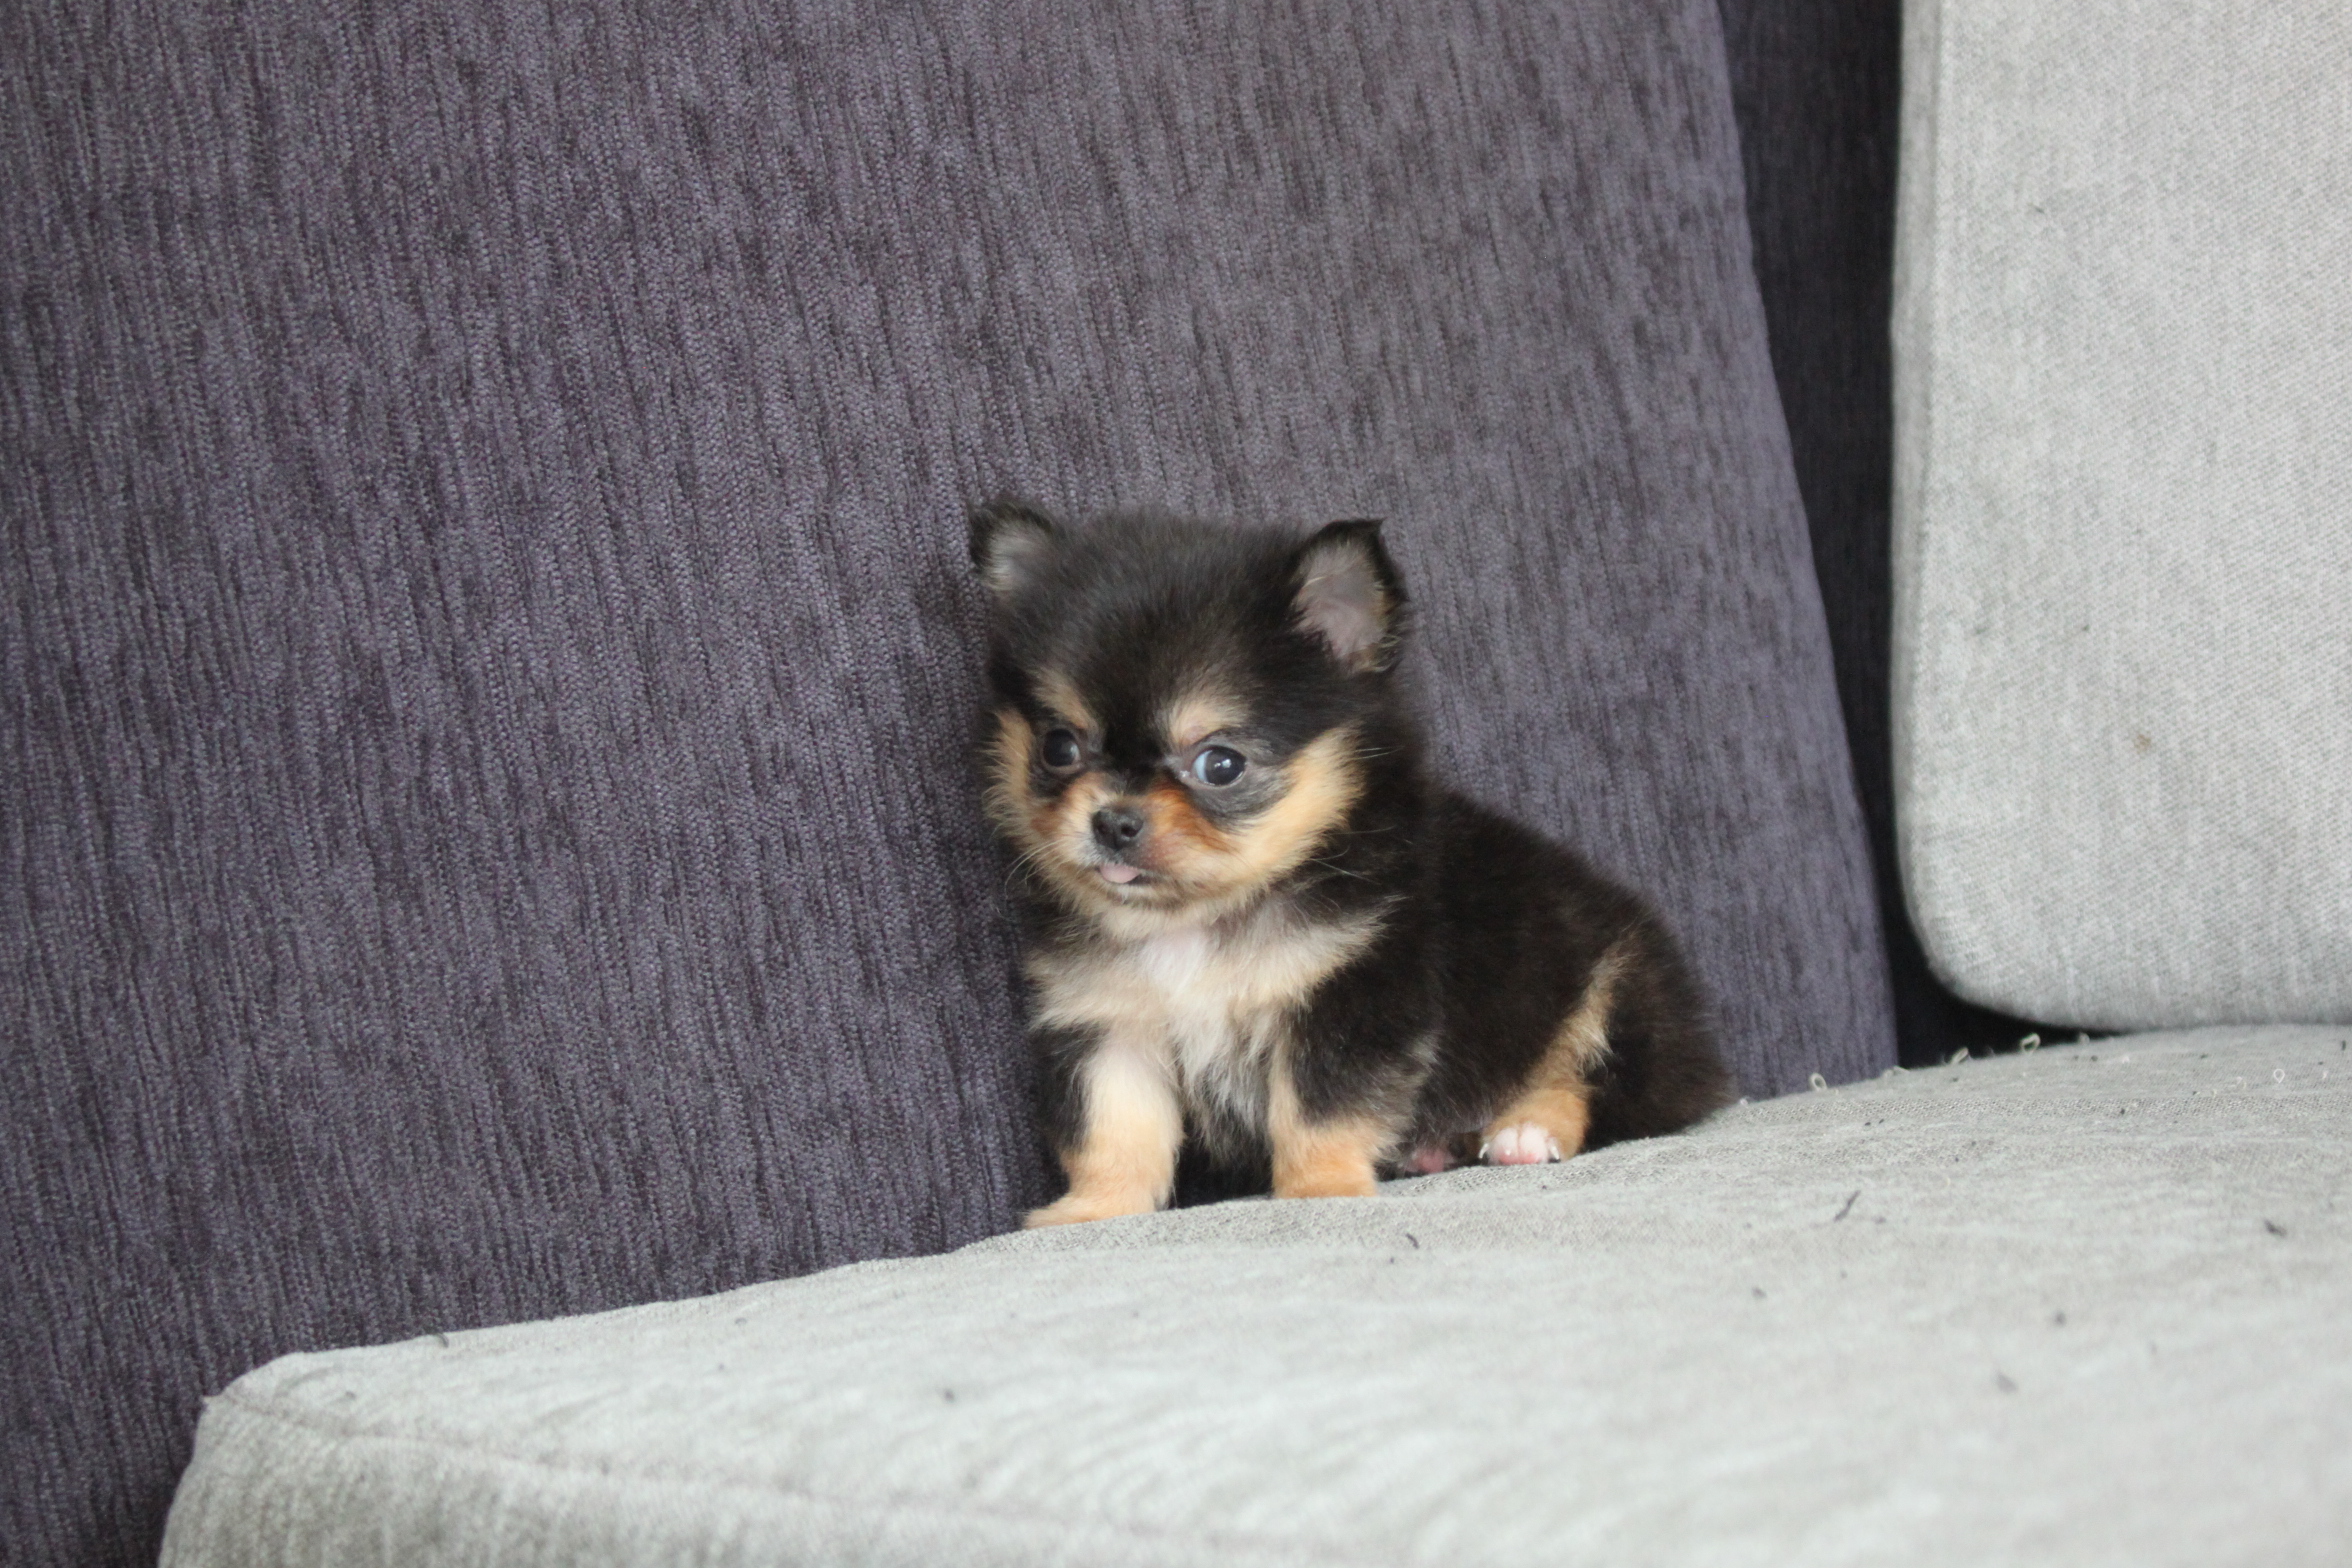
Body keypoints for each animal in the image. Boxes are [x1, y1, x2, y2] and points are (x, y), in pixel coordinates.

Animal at [969, 501, 1734, 1227]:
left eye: (1220, 763)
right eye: (1059, 747)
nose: (1113, 821)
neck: (1198, 922)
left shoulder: (1348, 997)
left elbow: (1319, 1108)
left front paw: (1321, 1188)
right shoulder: (1108, 1025)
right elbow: (1113, 1129)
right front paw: (1097, 1208)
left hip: (1617, 986)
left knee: (1602, 1084)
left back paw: (1528, 1127)